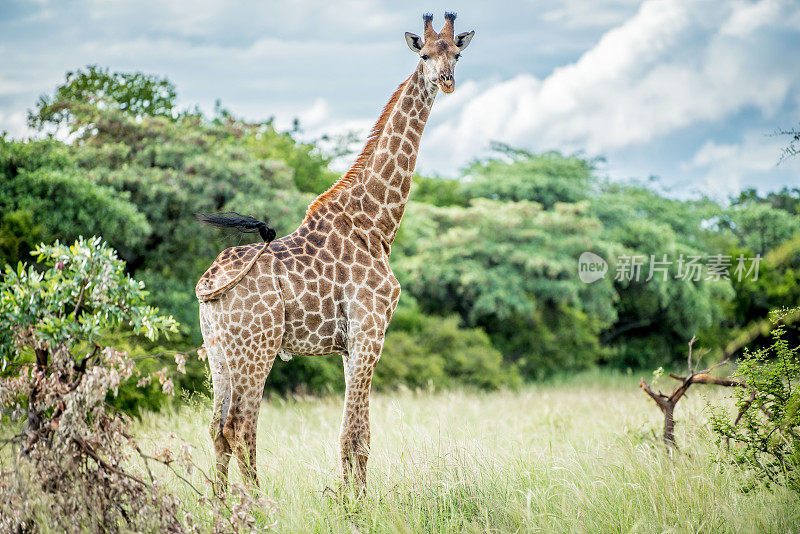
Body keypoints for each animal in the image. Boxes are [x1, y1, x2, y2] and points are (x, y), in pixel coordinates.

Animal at [196, 12, 472, 496]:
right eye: (423, 55)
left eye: (456, 53)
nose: (446, 81)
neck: (376, 223)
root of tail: (208, 283)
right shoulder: (370, 329)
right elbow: (354, 433)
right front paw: (355, 504)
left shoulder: (349, 343)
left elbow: (359, 433)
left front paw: (351, 499)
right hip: (257, 347)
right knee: (239, 427)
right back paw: (257, 505)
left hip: (218, 349)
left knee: (217, 428)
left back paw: (219, 505)